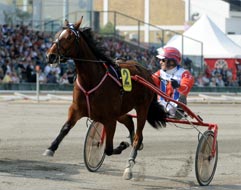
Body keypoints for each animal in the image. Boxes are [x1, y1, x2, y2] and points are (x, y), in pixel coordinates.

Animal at [44, 16, 167, 180]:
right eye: (57, 34)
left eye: (69, 37)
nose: (50, 55)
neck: (91, 79)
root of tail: (147, 72)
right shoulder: (76, 109)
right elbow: (65, 128)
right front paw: (51, 148)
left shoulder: (109, 119)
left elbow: (108, 149)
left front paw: (121, 146)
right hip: (121, 111)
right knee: (130, 122)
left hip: (142, 108)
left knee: (138, 136)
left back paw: (129, 164)